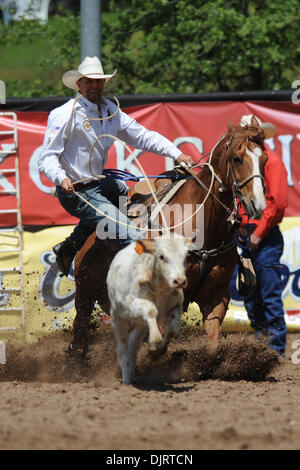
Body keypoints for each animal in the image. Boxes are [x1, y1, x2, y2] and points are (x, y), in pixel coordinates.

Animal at [70, 117, 268, 356]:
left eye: (265, 159)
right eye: (237, 159)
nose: (258, 205)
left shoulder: (216, 295)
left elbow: (213, 342)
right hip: (84, 295)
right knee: (79, 335)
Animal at [106, 235, 189, 386]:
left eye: (186, 256)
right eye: (161, 256)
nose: (179, 281)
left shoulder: (176, 305)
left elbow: (172, 330)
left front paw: (157, 351)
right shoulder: (128, 304)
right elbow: (150, 309)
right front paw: (155, 340)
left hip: (140, 327)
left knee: (132, 348)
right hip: (118, 321)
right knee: (123, 350)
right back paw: (126, 380)